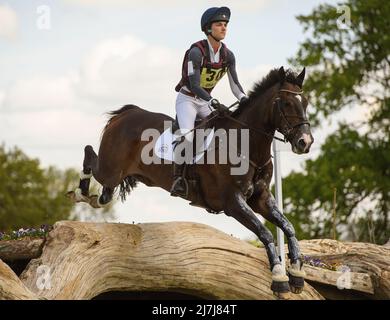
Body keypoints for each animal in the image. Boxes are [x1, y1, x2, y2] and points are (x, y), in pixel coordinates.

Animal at [67, 65, 314, 298]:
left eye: (305, 102)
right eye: (286, 104)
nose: (305, 142)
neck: (246, 146)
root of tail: (125, 114)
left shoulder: (260, 198)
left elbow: (288, 227)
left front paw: (297, 273)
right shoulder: (233, 203)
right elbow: (265, 233)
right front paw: (279, 278)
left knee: (106, 191)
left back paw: (96, 196)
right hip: (111, 169)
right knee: (90, 155)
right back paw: (81, 193)